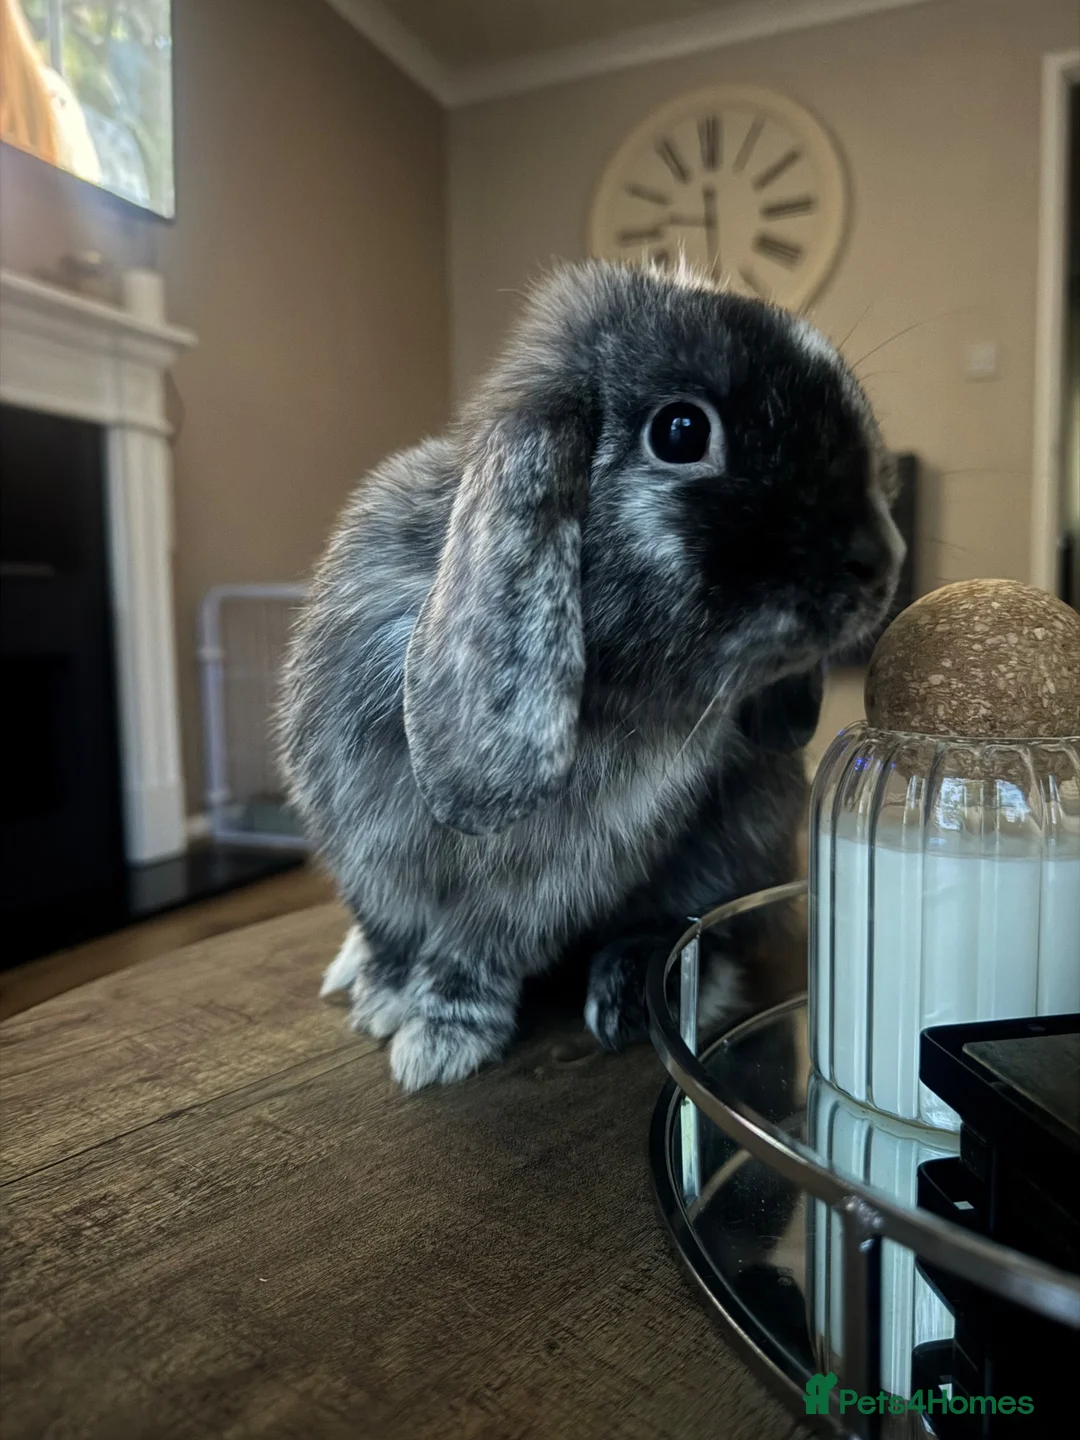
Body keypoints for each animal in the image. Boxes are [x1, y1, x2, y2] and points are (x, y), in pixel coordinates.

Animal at [279, 259, 902, 1091]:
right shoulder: (368, 855)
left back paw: (639, 994)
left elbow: (471, 955)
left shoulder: (535, 888)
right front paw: (381, 991)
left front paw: (437, 1042)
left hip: (743, 840)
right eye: (681, 431)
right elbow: (392, 931)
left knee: (706, 929)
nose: (879, 562)